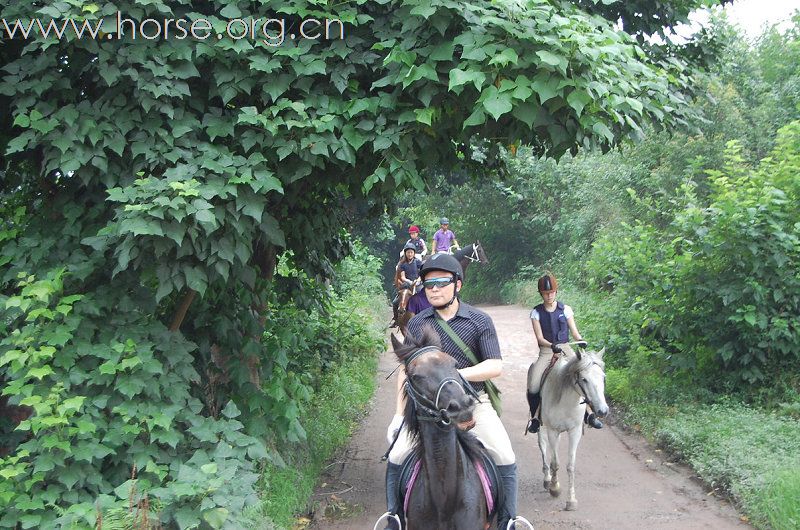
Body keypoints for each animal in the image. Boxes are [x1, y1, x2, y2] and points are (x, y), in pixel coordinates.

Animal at [536, 346, 608, 508]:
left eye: (603, 378)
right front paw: (555, 489)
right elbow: (555, 463)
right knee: (543, 447)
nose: (603, 410)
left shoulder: (574, 432)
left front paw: (571, 500)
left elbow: (570, 466)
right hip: (542, 427)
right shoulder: (553, 431)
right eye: (584, 379)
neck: (566, 401)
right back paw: (547, 479)